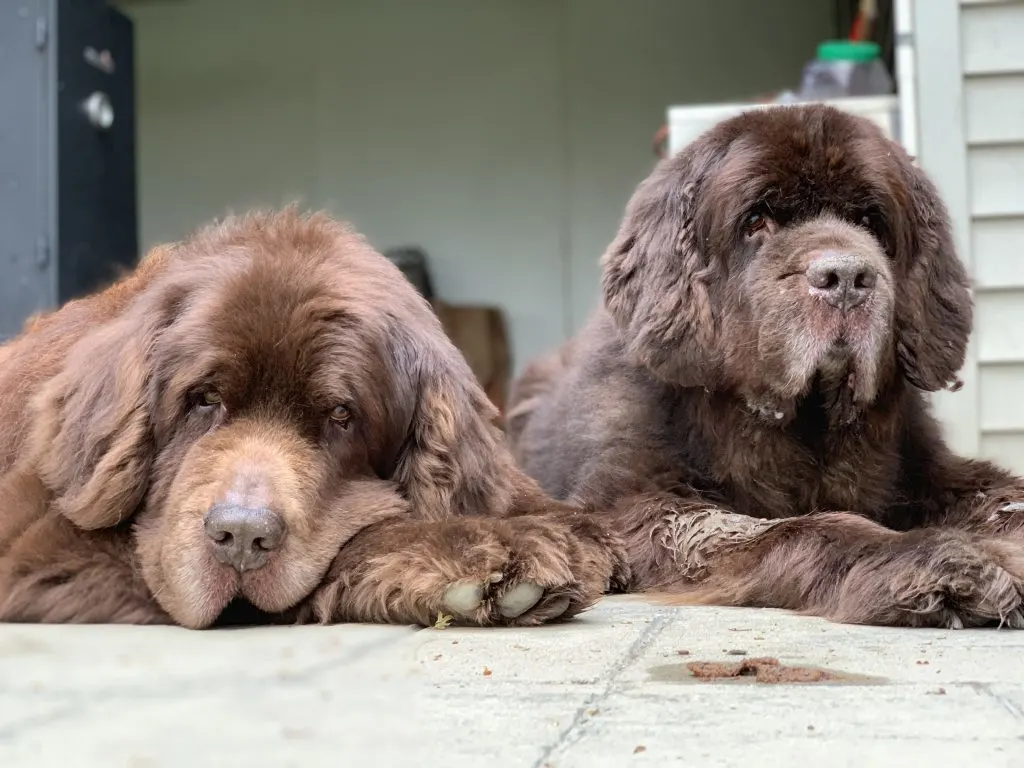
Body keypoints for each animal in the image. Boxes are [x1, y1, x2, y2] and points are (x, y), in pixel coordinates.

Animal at [0, 207, 622, 626]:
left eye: (342, 415)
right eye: (203, 399)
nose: (241, 535)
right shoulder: (40, 546)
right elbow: (354, 541)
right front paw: (489, 553)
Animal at [512, 103, 1024, 630]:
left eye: (870, 220)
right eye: (757, 220)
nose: (846, 276)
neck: (805, 427)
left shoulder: (929, 470)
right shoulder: (634, 505)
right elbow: (800, 529)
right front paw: (935, 558)